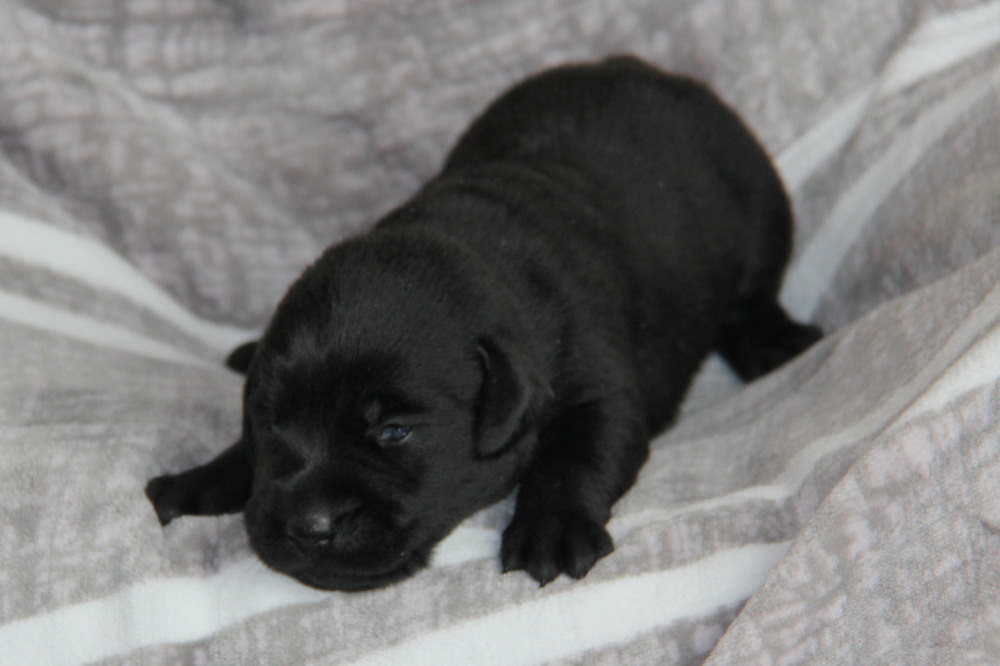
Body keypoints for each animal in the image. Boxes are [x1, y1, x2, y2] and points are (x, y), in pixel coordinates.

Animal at [146, 55, 820, 588]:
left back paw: (774, 340)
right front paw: (199, 479)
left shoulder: (599, 386)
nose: (309, 528)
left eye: (393, 432)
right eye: (271, 422)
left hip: (761, 212)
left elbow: (574, 458)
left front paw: (552, 529)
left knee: (750, 300)